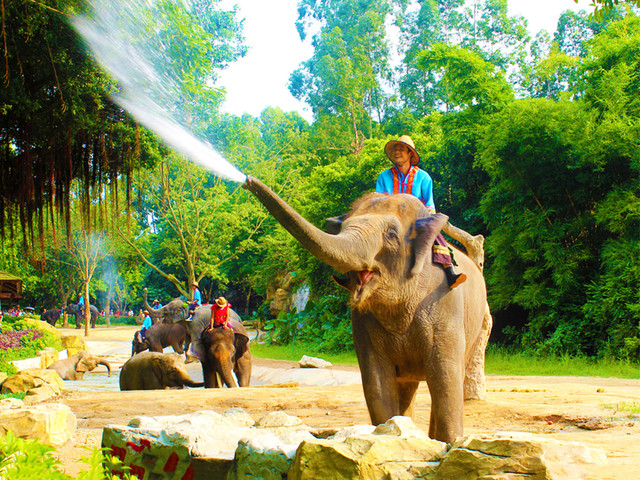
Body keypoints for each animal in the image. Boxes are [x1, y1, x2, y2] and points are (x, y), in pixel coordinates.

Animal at [242, 175, 488, 442]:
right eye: (342, 228)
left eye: (391, 234)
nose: (247, 180)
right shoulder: (362, 321)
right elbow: (376, 381)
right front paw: (389, 432)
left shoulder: (443, 303)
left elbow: (445, 377)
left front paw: (448, 442)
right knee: (406, 386)